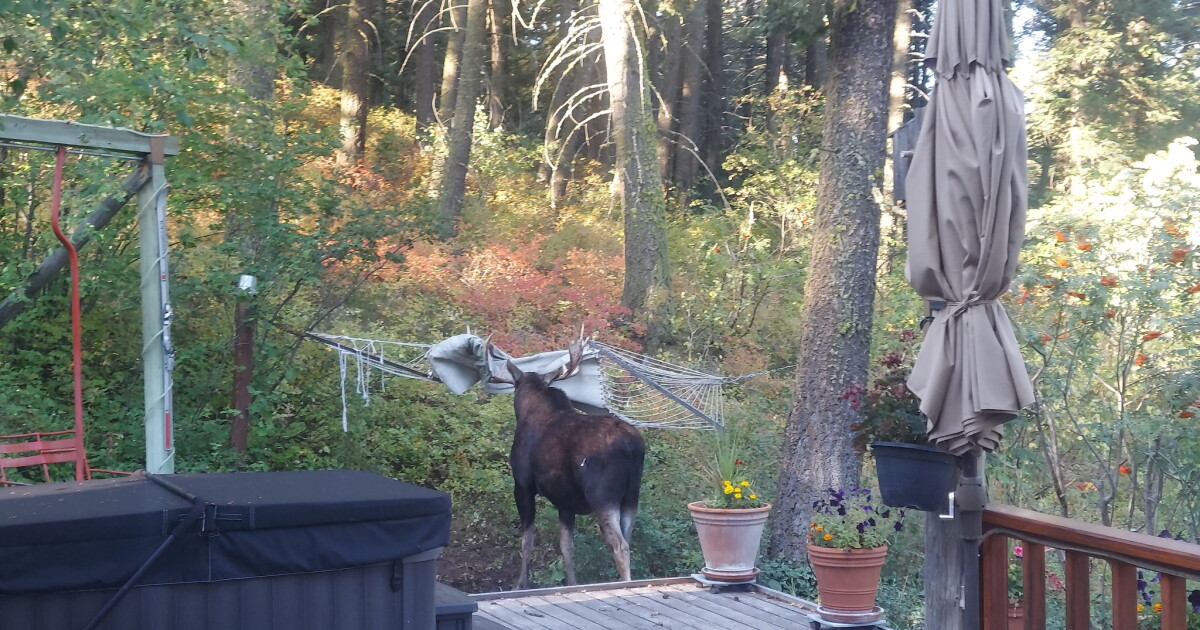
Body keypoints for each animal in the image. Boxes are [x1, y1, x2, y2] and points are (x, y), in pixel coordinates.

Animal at [492, 340, 646, 590]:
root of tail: (632, 447)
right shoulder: (565, 501)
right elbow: (567, 546)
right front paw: (571, 583)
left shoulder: (522, 485)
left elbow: (527, 539)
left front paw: (520, 584)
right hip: (632, 496)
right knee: (628, 539)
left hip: (602, 496)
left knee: (619, 545)